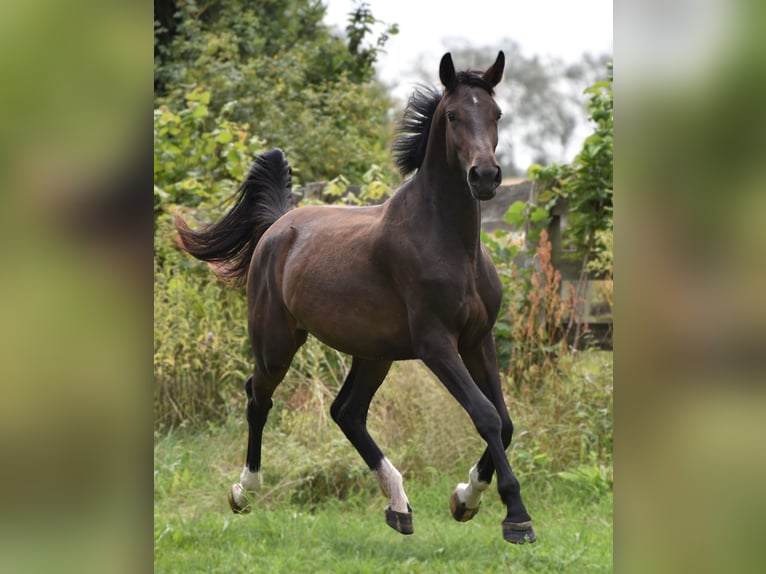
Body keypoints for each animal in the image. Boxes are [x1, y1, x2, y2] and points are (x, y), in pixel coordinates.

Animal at [175, 51, 536, 548]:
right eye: (453, 115)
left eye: (497, 113)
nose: (484, 176)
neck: (450, 243)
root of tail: (278, 226)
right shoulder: (437, 345)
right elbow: (485, 415)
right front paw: (515, 516)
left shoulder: (477, 340)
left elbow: (505, 420)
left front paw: (465, 499)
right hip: (277, 345)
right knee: (259, 397)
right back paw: (244, 491)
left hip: (373, 354)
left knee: (347, 412)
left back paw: (399, 506)